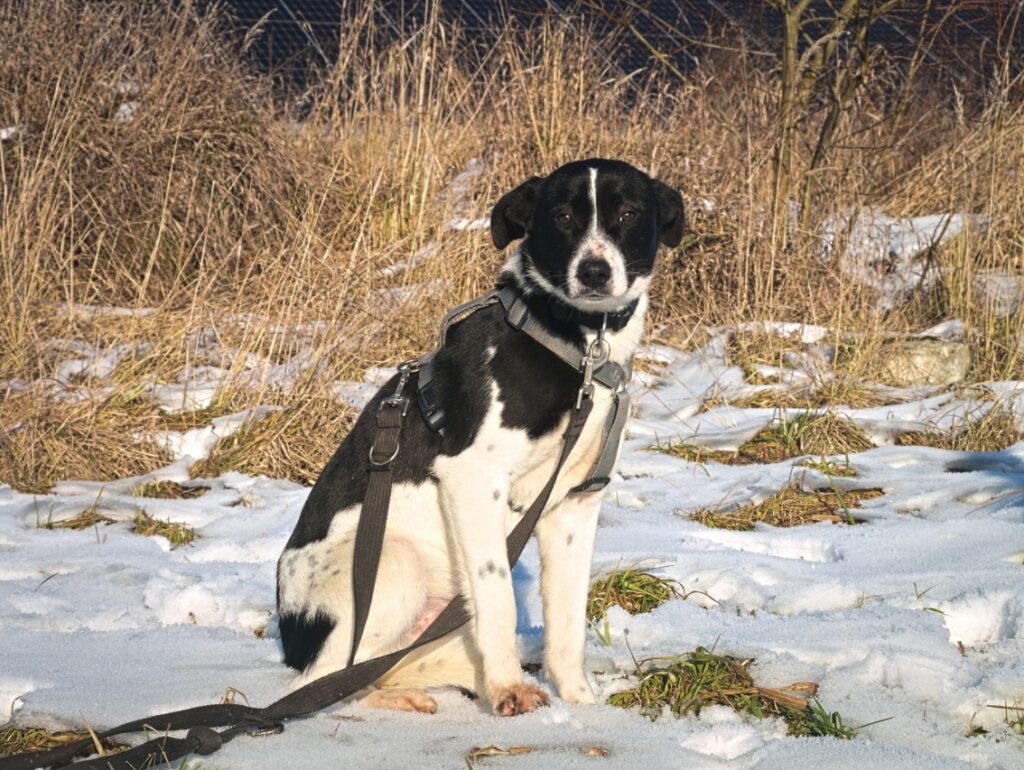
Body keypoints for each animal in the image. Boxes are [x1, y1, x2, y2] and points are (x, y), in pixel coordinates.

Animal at [276, 159, 684, 720]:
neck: (577, 346)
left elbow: (567, 623)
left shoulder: (573, 507)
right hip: (395, 564)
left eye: (627, 214)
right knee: (321, 685)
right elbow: (498, 596)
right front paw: (510, 689)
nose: (594, 272)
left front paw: (578, 701)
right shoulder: (471, 476)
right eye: (561, 217)